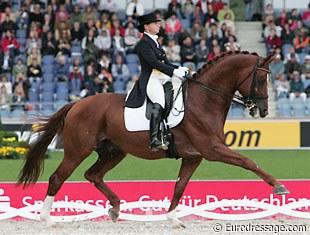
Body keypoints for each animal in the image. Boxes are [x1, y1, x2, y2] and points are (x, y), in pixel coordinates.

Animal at [17, 51, 290, 228]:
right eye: (260, 78)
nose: (263, 111)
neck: (203, 100)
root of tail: (76, 104)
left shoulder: (194, 157)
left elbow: (180, 186)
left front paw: (173, 218)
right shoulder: (212, 149)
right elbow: (247, 161)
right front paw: (278, 185)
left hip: (114, 151)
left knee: (93, 174)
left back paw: (115, 207)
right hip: (78, 150)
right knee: (57, 177)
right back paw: (47, 219)